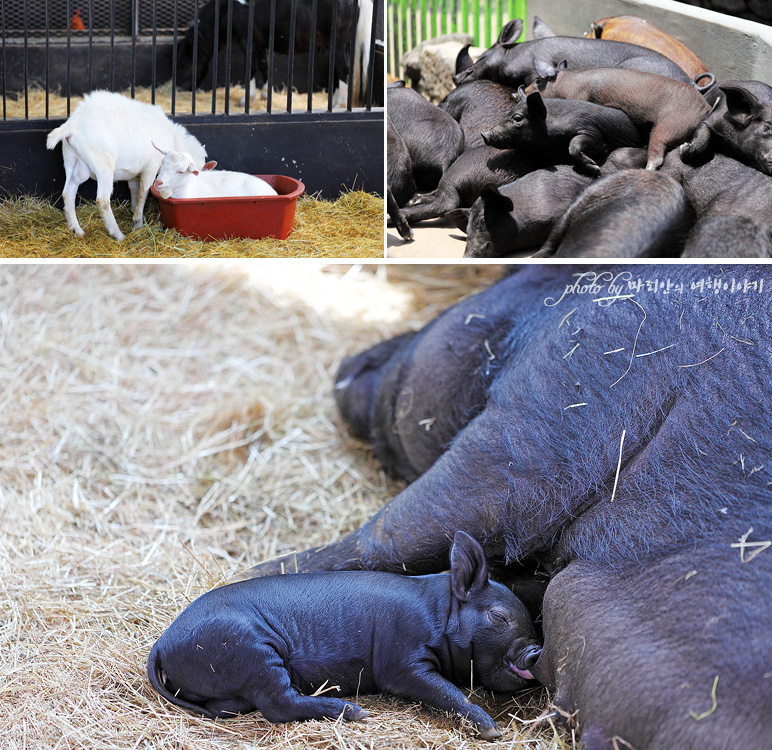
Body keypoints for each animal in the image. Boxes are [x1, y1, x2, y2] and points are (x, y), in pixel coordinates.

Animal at [46, 90, 207, 241]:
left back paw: (77, 230)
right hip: (103, 166)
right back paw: (118, 234)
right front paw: (138, 223)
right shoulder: (151, 168)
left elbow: (134, 190)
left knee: (68, 193)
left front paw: (133, 211)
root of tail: (73, 124)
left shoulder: (133, 173)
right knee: (102, 200)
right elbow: (144, 191)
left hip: (73, 161)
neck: (173, 139)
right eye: (183, 172)